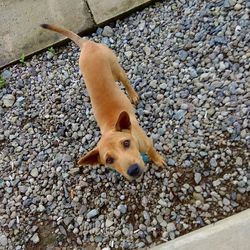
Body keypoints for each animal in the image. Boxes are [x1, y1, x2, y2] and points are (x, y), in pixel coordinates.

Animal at [41, 23, 166, 180]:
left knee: (125, 81)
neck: (111, 125)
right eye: (109, 160)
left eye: (126, 143)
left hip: (116, 69)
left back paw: (132, 95)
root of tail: (87, 44)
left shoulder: (147, 143)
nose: (133, 170)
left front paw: (158, 159)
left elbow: (152, 151)